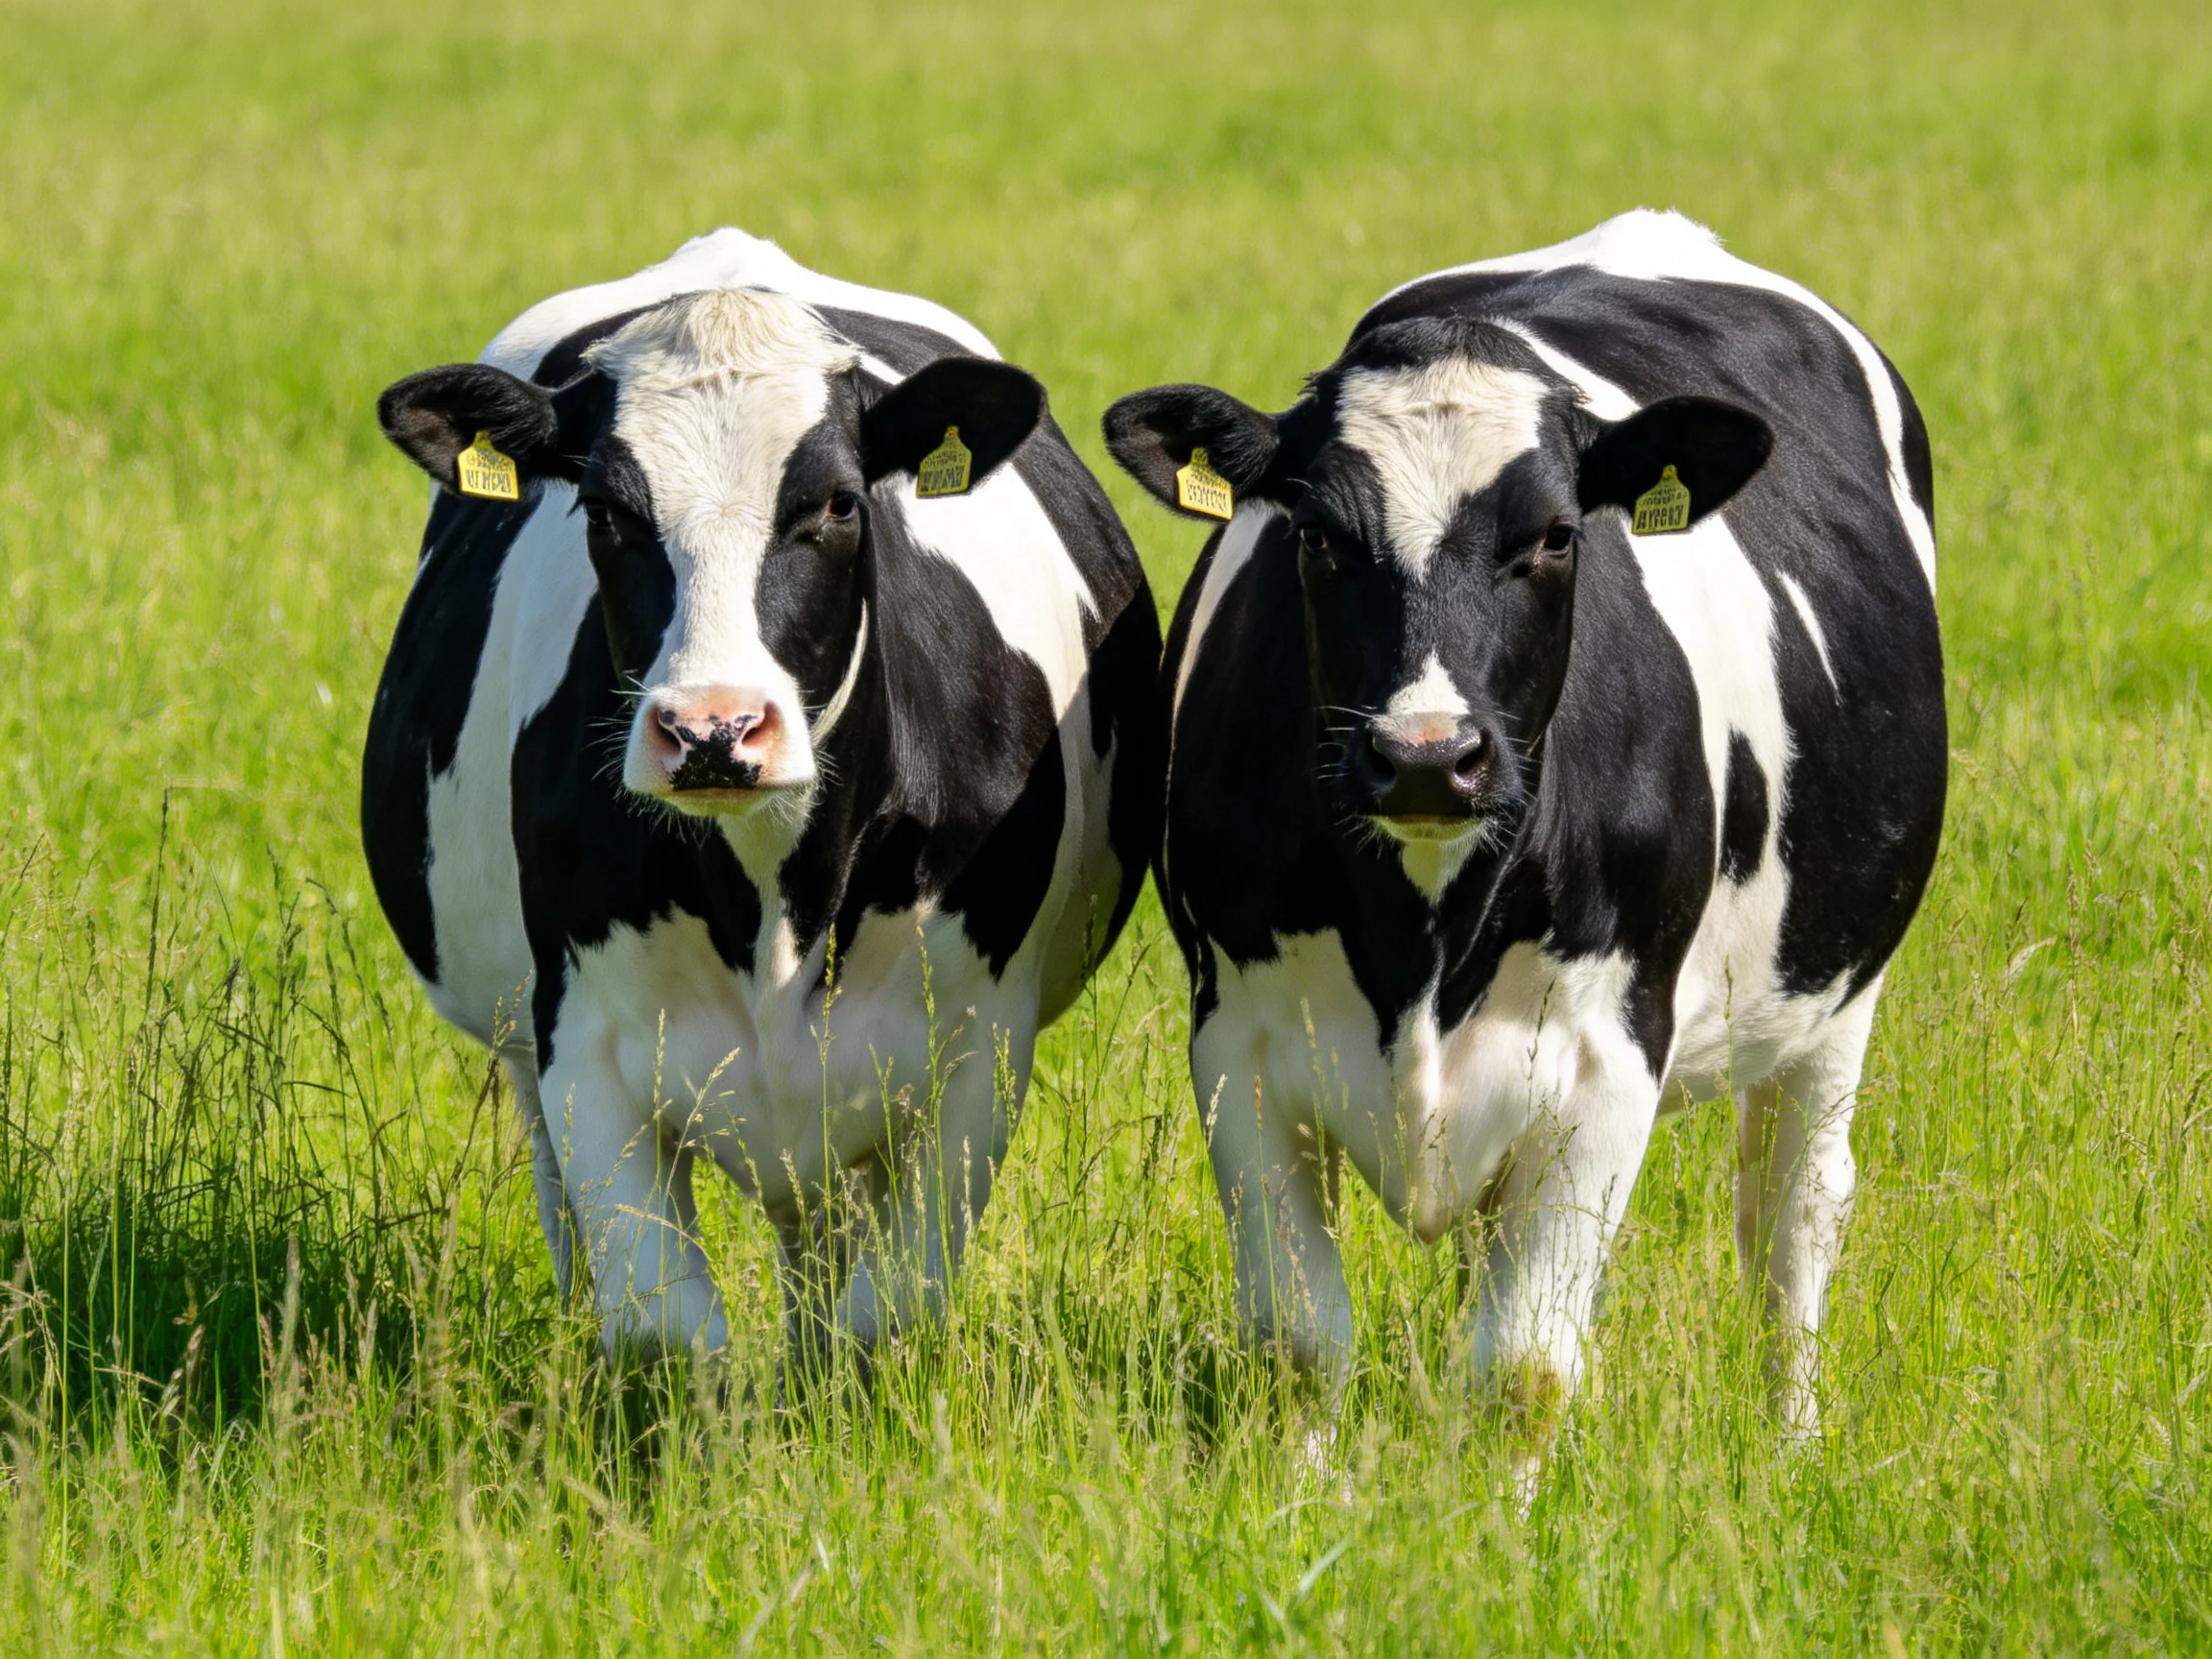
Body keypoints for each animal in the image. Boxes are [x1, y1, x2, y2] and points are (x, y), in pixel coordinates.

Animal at [363, 231, 1160, 1376]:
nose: (713, 730)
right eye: (606, 510)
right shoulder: (584, 1045)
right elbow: (664, 1333)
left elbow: (884, 1318)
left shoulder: (978, 1046)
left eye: (837, 503)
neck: (774, 894)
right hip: (520, 1040)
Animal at [1103, 210, 1944, 1441]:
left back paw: (1792, 1443)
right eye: (1315, 536)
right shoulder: (1238, 1042)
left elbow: (1525, 1371)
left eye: (1553, 537)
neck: (1420, 940)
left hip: (1840, 988)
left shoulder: (1607, 1059)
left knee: (1795, 1212)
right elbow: (1301, 1344)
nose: (1426, 754)